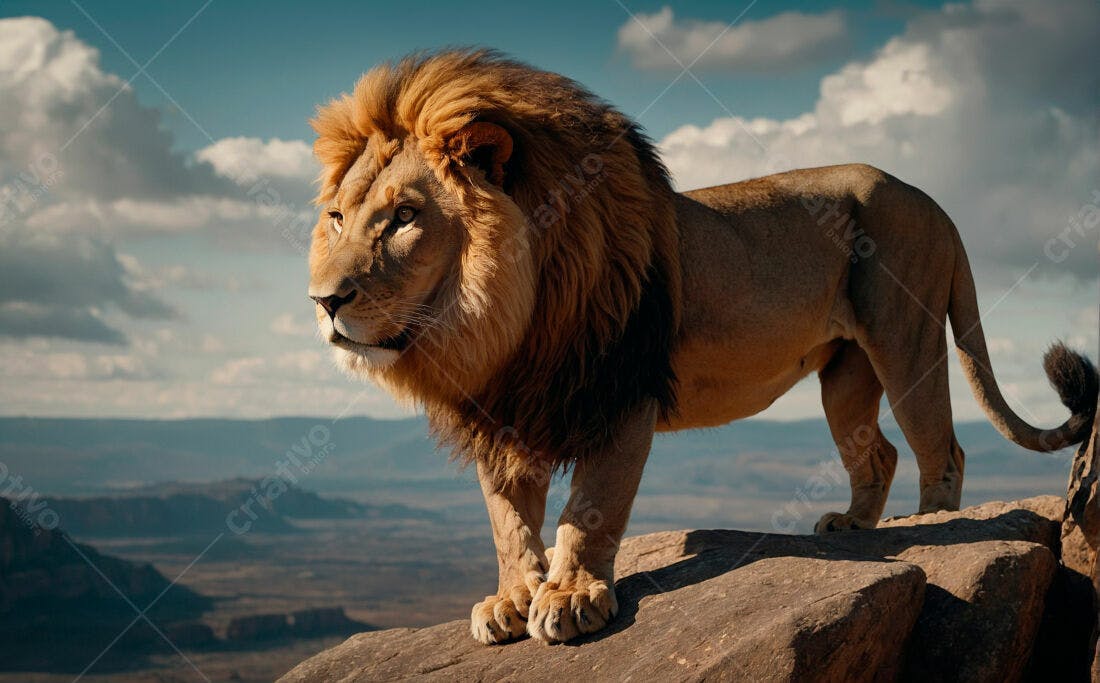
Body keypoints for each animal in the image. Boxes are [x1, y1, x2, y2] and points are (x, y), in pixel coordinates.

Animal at [305, 50, 1099, 645]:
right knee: (877, 451)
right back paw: (852, 527)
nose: (323, 300)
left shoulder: (622, 393)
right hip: (846, 374)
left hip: (905, 338)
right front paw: (509, 598)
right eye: (338, 218)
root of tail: (937, 203)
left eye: (405, 218)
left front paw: (571, 597)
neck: (495, 326)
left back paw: (932, 524)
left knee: (942, 447)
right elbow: (506, 520)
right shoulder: (504, 412)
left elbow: (590, 508)